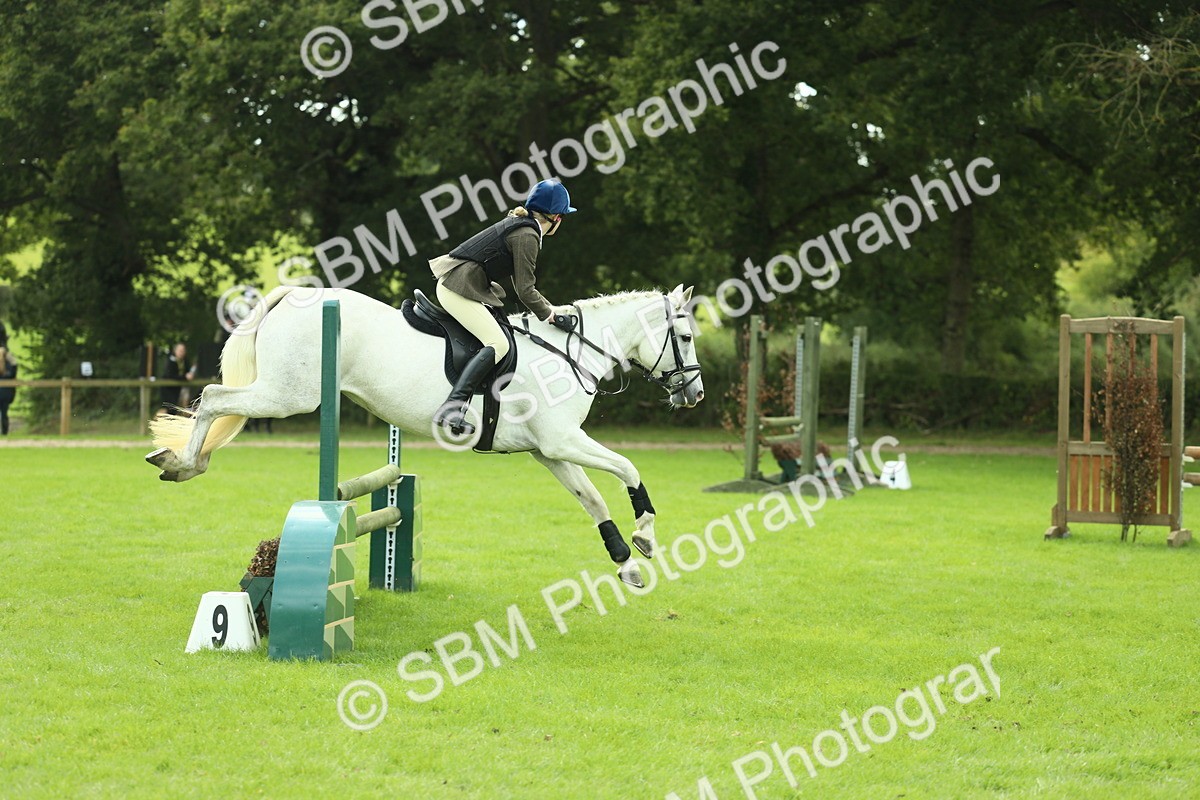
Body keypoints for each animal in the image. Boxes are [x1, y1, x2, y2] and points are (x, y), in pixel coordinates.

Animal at [146, 284, 705, 587]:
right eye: (684, 336)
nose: (694, 393)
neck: (571, 350)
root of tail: (297, 295)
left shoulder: (549, 450)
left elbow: (592, 500)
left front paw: (626, 564)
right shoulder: (563, 442)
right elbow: (628, 469)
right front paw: (645, 535)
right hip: (290, 395)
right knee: (214, 398)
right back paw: (182, 464)